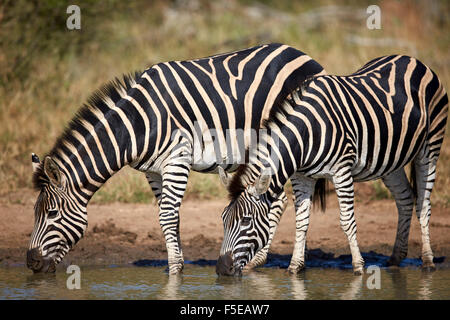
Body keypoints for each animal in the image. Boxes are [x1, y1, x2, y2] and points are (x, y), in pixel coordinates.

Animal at [26, 42, 326, 272]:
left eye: (51, 213)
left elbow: (168, 216)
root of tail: (304, 55)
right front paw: (177, 265)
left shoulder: (177, 159)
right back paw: (258, 260)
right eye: (35, 213)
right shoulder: (153, 170)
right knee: (279, 200)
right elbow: (168, 216)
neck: (139, 123)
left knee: (294, 202)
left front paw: (173, 274)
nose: (31, 263)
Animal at [216, 54, 448, 276]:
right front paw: (294, 268)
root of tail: (413, 60)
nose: (221, 269)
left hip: (430, 146)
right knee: (405, 199)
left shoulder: (342, 171)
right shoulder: (302, 177)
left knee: (423, 205)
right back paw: (396, 257)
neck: (306, 134)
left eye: (246, 221)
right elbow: (301, 220)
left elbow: (347, 220)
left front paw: (358, 267)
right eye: (223, 219)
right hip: (391, 159)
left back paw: (428, 261)